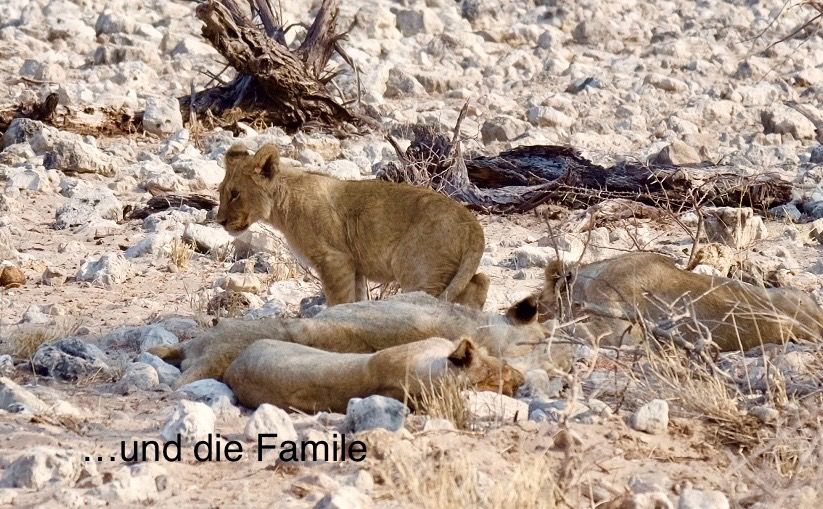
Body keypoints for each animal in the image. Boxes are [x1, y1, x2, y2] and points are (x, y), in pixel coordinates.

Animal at [216, 143, 492, 308]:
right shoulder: (354, 265)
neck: (283, 203)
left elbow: (339, 300)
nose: (220, 221)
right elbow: (356, 298)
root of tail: (472, 224)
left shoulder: (334, 259)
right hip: (445, 273)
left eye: (234, 194)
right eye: (221, 192)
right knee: (480, 282)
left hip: (418, 271)